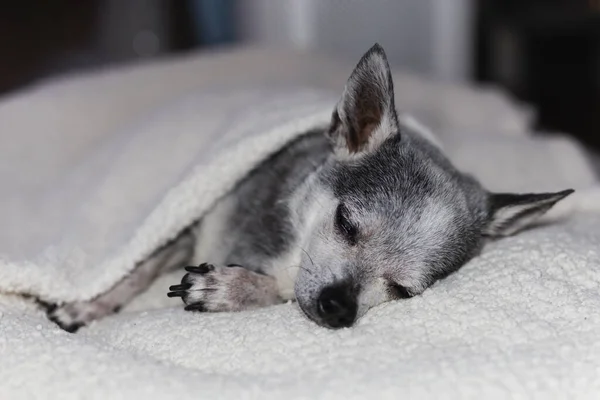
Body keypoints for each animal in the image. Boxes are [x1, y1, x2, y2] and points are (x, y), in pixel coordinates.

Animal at [47, 43, 572, 332]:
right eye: (346, 223)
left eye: (403, 290)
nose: (339, 306)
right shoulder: (190, 218)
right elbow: (134, 272)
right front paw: (86, 306)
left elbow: (283, 289)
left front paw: (231, 288)